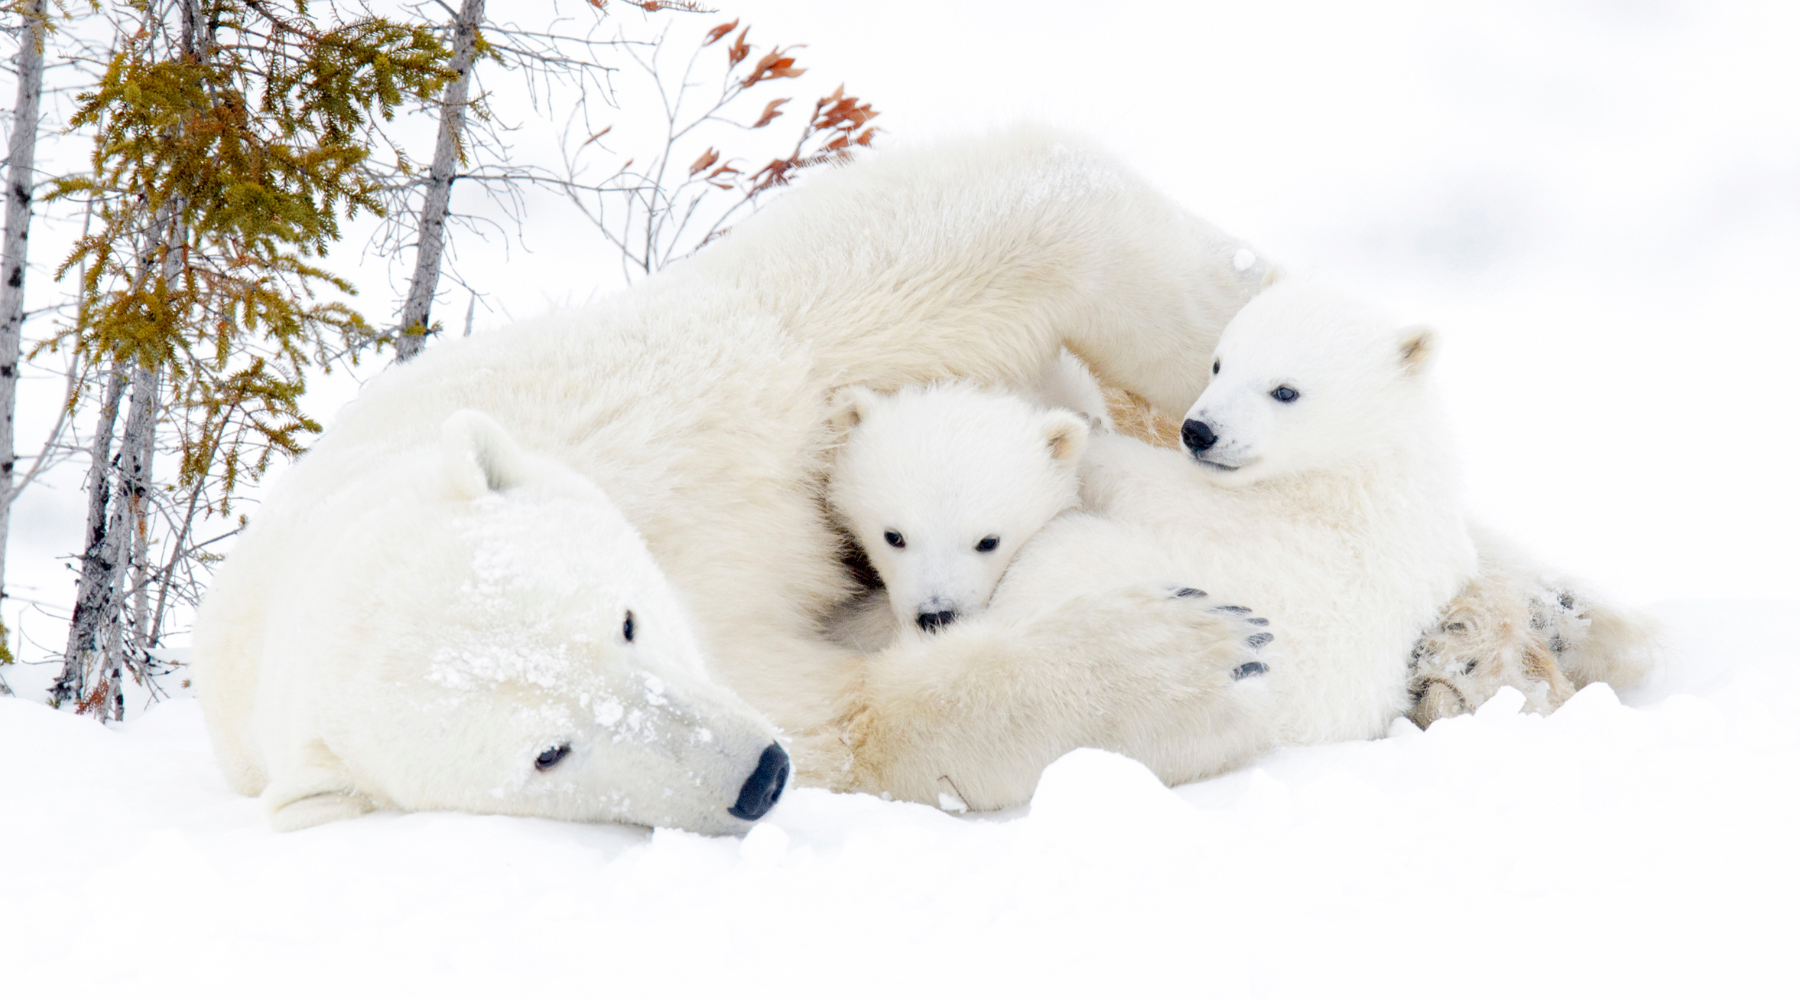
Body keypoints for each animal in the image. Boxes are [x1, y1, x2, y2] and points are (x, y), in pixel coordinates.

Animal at [189, 125, 1274, 830]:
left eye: (625, 620)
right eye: (548, 750)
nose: (756, 775)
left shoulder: (676, 401)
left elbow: (969, 241)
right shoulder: (744, 676)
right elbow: (864, 721)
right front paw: (1197, 658)